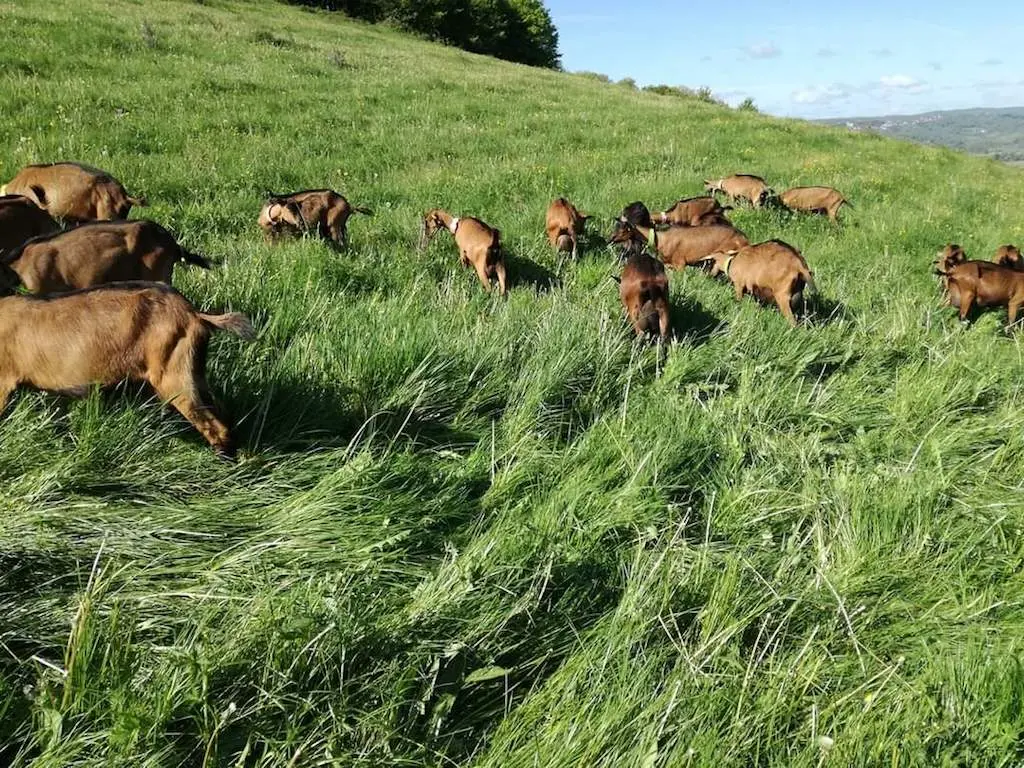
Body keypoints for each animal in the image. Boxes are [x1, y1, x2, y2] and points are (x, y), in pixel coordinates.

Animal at [606, 219, 753, 270]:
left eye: (624, 230)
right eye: (615, 227)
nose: (610, 239)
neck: (661, 239)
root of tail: (744, 239)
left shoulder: (680, 263)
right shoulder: (668, 264)